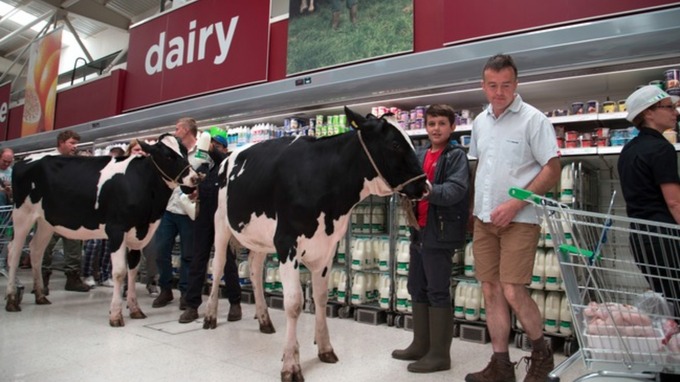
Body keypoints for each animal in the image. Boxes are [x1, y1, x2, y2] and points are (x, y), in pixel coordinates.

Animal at [4, 134, 199, 326]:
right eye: (168, 155)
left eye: (184, 151)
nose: (196, 178)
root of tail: (26, 160)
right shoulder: (116, 230)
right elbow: (119, 272)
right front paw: (116, 315)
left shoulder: (138, 235)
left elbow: (132, 270)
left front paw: (135, 309)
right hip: (22, 214)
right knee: (13, 251)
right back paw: (12, 299)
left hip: (46, 221)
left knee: (36, 250)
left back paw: (40, 296)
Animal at [205, 106, 428, 380]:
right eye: (395, 144)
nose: (425, 185)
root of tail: (227, 157)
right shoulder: (286, 243)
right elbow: (293, 303)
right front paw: (291, 363)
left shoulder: (327, 246)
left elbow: (321, 297)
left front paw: (325, 347)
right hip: (220, 224)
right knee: (218, 267)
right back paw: (210, 316)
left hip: (260, 237)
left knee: (256, 270)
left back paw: (264, 319)